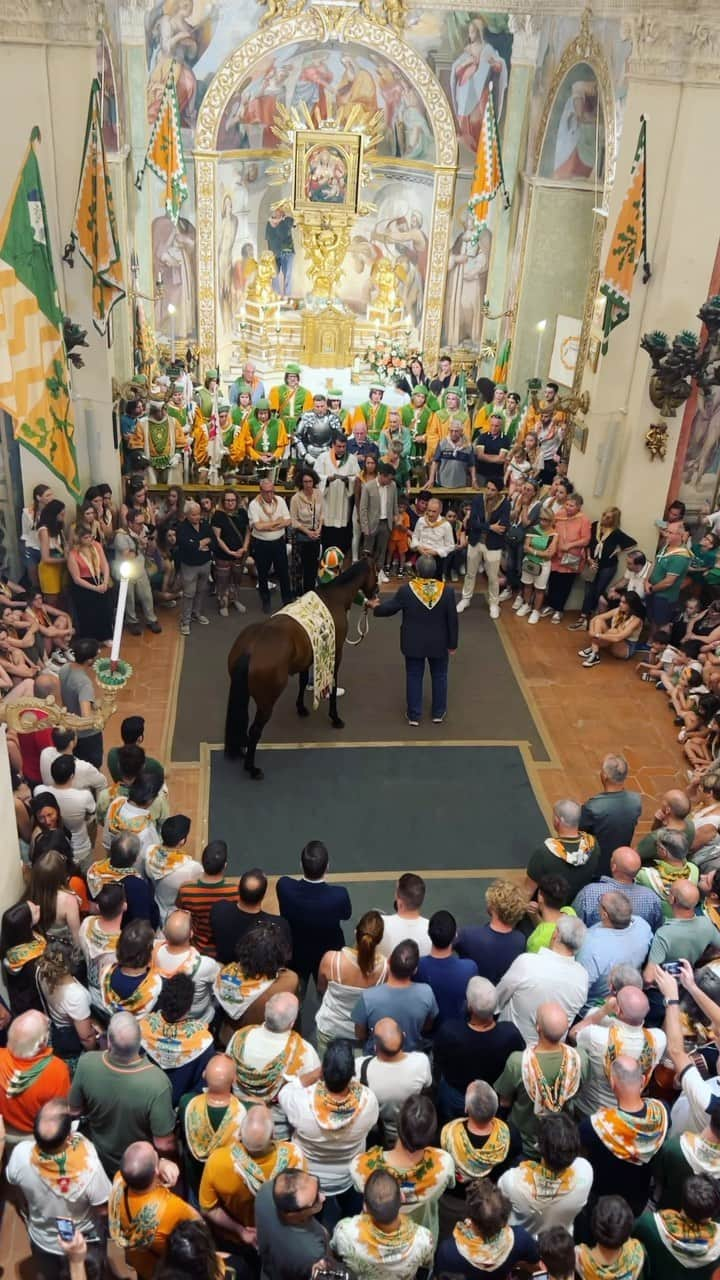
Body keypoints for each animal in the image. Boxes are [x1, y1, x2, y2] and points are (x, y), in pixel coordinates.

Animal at [224, 555, 379, 773]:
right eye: (377, 570)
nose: (376, 593)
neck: (334, 598)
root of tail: (251, 648)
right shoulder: (336, 653)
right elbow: (332, 683)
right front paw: (335, 718)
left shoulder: (309, 656)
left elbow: (303, 679)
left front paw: (301, 708)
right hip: (266, 702)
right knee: (254, 730)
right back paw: (251, 768)